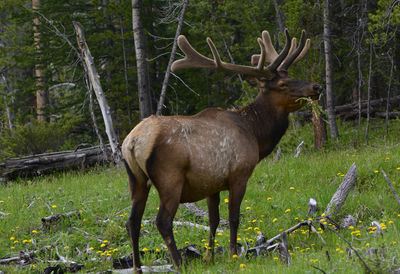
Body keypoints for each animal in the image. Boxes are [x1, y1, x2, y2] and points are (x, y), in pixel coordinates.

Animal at [121, 28, 322, 270]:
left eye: (291, 77)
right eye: (282, 84)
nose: (316, 87)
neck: (255, 135)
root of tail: (133, 142)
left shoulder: (211, 183)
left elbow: (214, 219)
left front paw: (209, 256)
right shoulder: (239, 174)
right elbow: (233, 217)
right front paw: (234, 254)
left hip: (136, 179)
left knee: (132, 222)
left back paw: (137, 267)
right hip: (170, 179)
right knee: (162, 221)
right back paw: (179, 264)